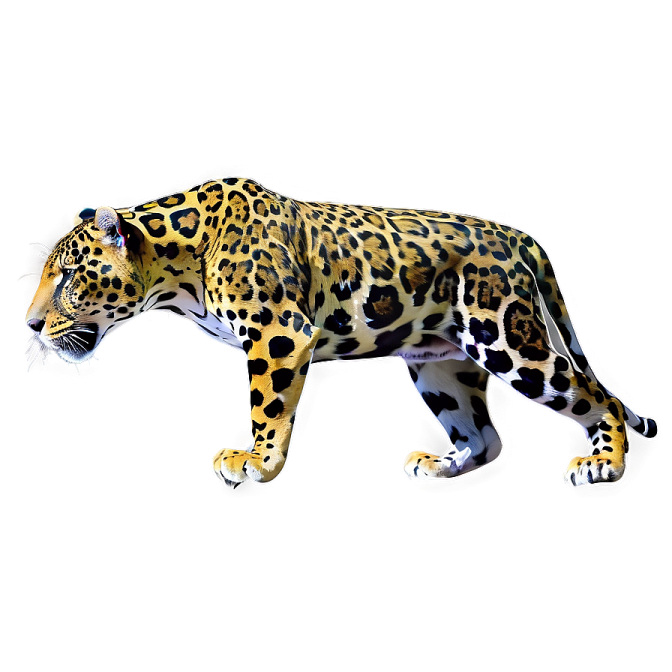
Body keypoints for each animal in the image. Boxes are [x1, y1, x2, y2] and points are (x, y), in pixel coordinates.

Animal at [24, 176, 659, 489]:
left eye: (69, 277)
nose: (29, 323)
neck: (176, 261)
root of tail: (513, 234)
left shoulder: (278, 333)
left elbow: (267, 406)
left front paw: (255, 462)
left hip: (504, 335)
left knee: (593, 395)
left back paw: (601, 465)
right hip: (438, 363)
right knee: (484, 436)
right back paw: (436, 467)